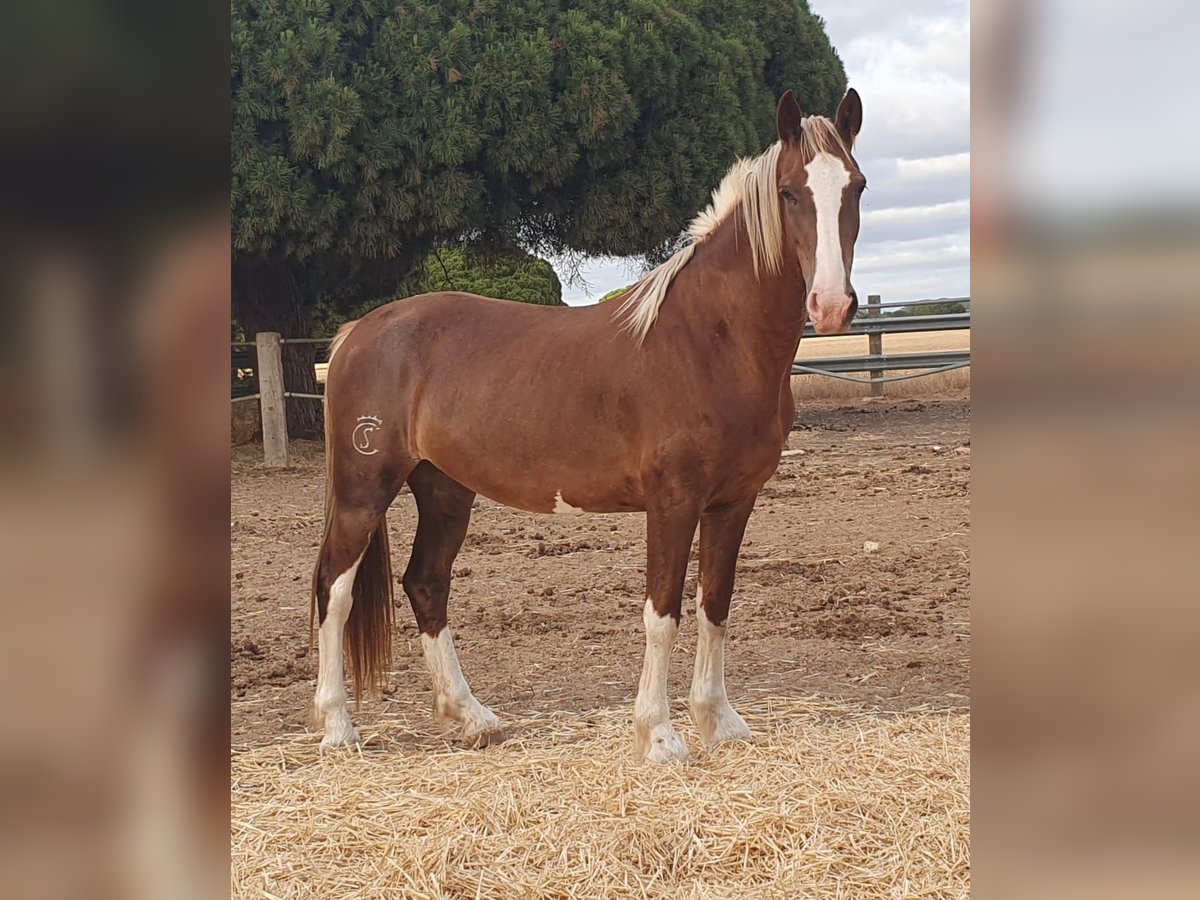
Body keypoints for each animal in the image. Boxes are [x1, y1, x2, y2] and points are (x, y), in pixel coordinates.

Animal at [309, 90, 864, 763]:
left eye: (857, 186)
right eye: (788, 191)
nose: (831, 305)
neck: (711, 340)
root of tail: (354, 333)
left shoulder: (734, 502)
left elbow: (715, 603)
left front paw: (719, 721)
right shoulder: (673, 501)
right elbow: (662, 611)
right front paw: (659, 737)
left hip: (443, 490)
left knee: (426, 584)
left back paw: (472, 717)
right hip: (363, 491)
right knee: (334, 591)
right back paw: (338, 728)